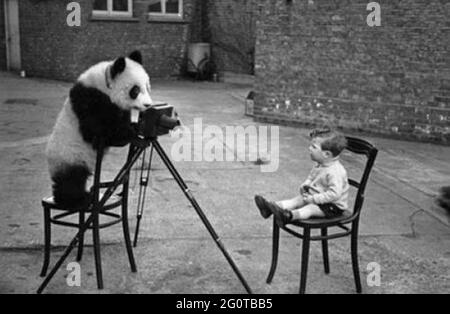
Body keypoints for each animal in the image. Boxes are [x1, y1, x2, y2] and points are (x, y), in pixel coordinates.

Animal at [46, 50, 153, 207]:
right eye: (135, 90)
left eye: (147, 87)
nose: (148, 105)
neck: (104, 84)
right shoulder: (89, 99)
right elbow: (96, 133)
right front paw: (132, 134)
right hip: (70, 155)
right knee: (71, 179)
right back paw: (78, 199)